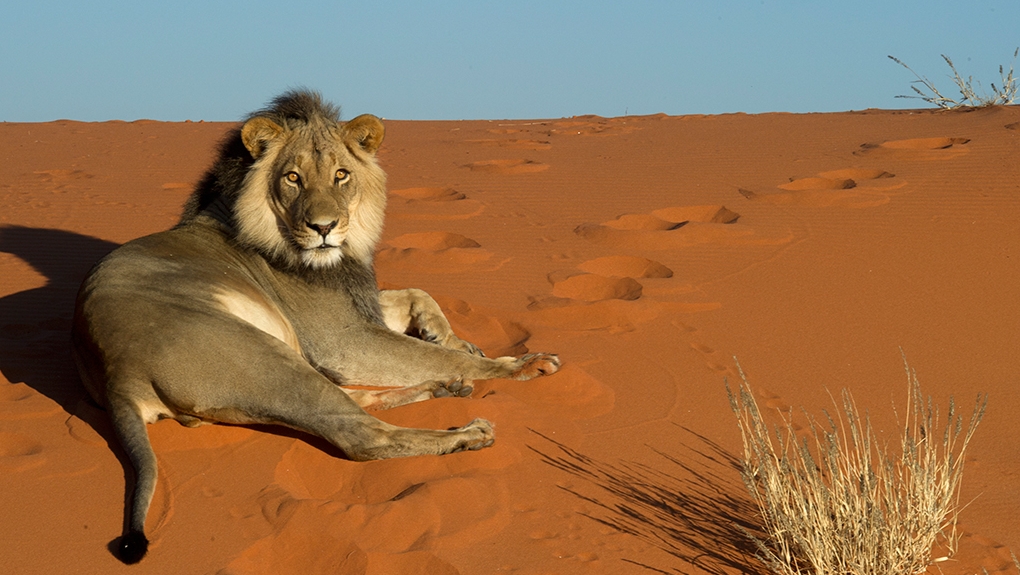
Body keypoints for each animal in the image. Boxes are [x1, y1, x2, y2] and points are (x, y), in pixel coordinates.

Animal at [72, 89, 563, 562]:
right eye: (293, 178)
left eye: (341, 175)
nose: (323, 227)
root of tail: (116, 373)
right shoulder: (342, 340)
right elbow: (434, 352)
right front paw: (520, 364)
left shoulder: (357, 305)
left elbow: (419, 295)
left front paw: (453, 340)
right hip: (261, 353)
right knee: (363, 434)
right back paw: (467, 432)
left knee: (355, 403)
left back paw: (443, 389)